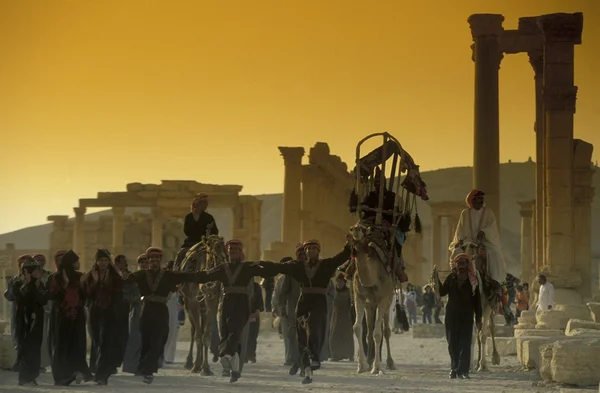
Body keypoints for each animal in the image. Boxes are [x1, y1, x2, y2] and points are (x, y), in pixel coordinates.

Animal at [178, 234, 227, 372]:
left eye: (224, 250)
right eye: (210, 251)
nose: (220, 264)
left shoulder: (212, 304)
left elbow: (206, 335)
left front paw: (205, 368)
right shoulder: (193, 303)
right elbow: (198, 335)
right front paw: (196, 367)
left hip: (203, 308)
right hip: (188, 304)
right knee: (194, 330)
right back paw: (190, 362)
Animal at [350, 220, 396, 374]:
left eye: (364, 229)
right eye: (351, 228)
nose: (356, 229)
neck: (371, 280)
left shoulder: (383, 300)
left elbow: (378, 333)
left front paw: (376, 367)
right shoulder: (359, 298)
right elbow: (357, 328)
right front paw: (362, 365)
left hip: (388, 303)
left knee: (386, 331)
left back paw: (390, 362)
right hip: (370, 307)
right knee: (369, 331)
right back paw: (369, 361)